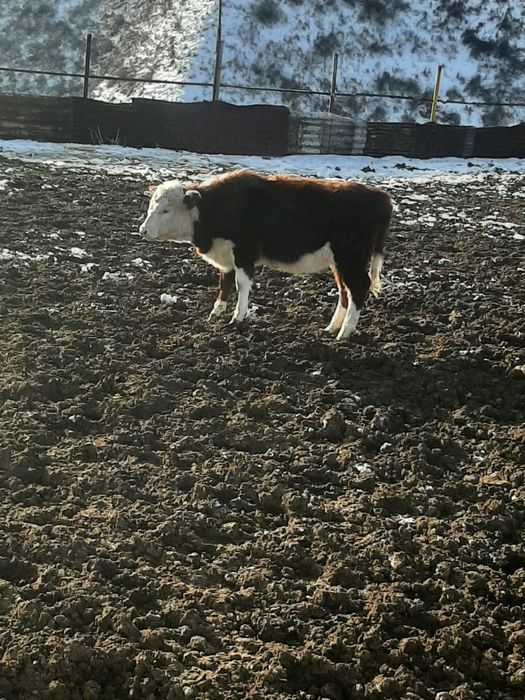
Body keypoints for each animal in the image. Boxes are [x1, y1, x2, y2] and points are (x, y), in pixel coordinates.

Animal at [140, 170, 392, 340]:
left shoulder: (244, 252)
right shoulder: (226, 255)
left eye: (167, 210)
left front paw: (237, 318)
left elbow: (241, 285)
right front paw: (216, 314)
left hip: (351, 259)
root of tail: (379, 196)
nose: (143, 230)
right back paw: (332, 327)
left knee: (358, 288)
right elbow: (224, 283)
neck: (213, 209)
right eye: (151, 206)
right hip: (339, 262)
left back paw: (345, 332)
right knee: (344, 291)